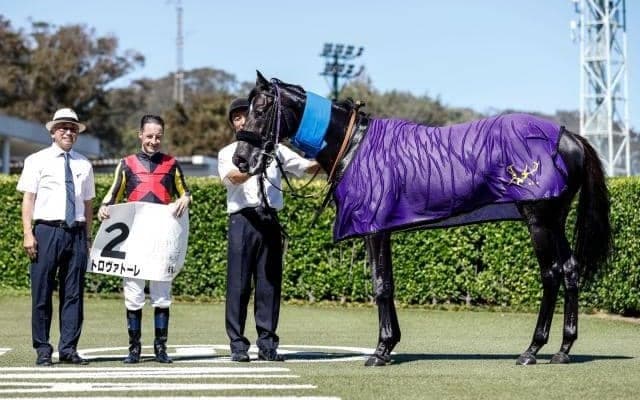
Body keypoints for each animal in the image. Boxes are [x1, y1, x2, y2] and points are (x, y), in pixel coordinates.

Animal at [232, 71, 612, 367]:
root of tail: (569, 136)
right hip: (556, 220)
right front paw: (390, 345)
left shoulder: (374, 228)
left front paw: (379, 351)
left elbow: (380, 285)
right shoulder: (383, 229)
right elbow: (388, 283)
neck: (354, 144)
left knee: (551, 275)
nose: (240, 159)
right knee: (570, 270)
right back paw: (563, 350)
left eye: (262, 109)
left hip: (539, 220)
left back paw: (532, 350)